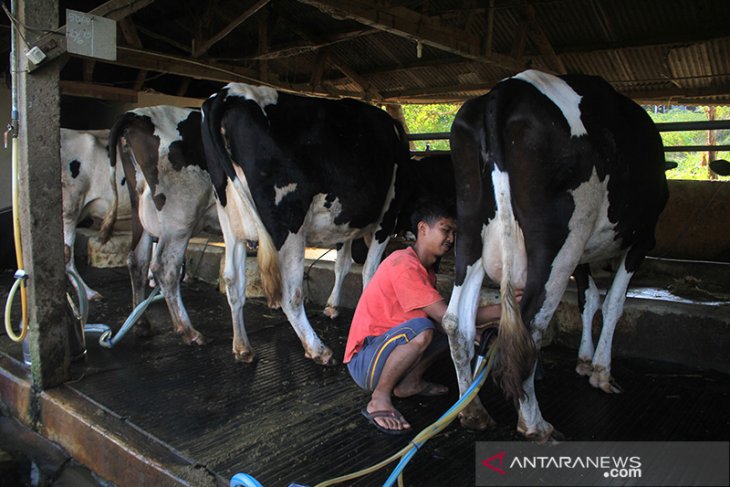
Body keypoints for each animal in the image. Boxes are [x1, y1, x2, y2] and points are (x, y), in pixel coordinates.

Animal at [105, 106, 219, 344]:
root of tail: (135, 115)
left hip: (139, 209)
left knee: (137, 261)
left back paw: (141, 323)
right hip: (180, 217)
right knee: (165, 267)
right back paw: (188, 331)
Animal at [200, 85, 410, 366]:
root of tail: (228, 92)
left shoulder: (344, 223)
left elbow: (343, 264)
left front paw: (333, 305)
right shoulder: (388, 214)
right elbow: (370, 270)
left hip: (230, 219)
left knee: (233, 281)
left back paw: (242, 347)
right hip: (288, 223)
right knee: (290, 294)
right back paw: (318, 349)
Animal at [440, 70, 668, 440]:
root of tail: (507, 87)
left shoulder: (586, 255)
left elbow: (589, 299)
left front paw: (585, 361)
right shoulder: (643, 239)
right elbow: (614, 303)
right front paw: (601, 371)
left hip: (471, 224)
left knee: (455, 322)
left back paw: (472, 411)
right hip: (561, 239)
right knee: (530, 325)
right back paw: (535, 424)